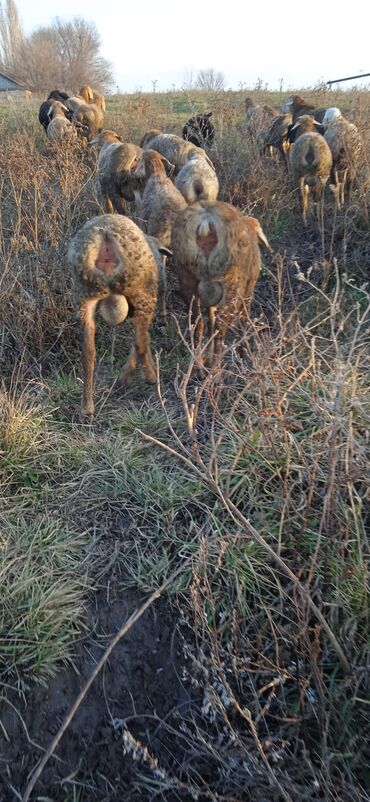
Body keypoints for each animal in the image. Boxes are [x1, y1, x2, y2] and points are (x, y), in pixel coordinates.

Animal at [67, 216, 169, 418]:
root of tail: (105, 238)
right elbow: (143, 339)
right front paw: (127, 377)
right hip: (138, 289)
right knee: (140, 340)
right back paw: (150, 377)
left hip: (84, 294)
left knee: (88, 352)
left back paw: (87, 408)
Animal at [170, 198, 268, 364]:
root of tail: (206, 221)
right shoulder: (248, 291)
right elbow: (243, 320)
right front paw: (243, 353)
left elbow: (210, 319)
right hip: (232, 287)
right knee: (220, 328)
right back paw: (215, 366)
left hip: (187, 277)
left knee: (198, 322)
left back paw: (198, 361)